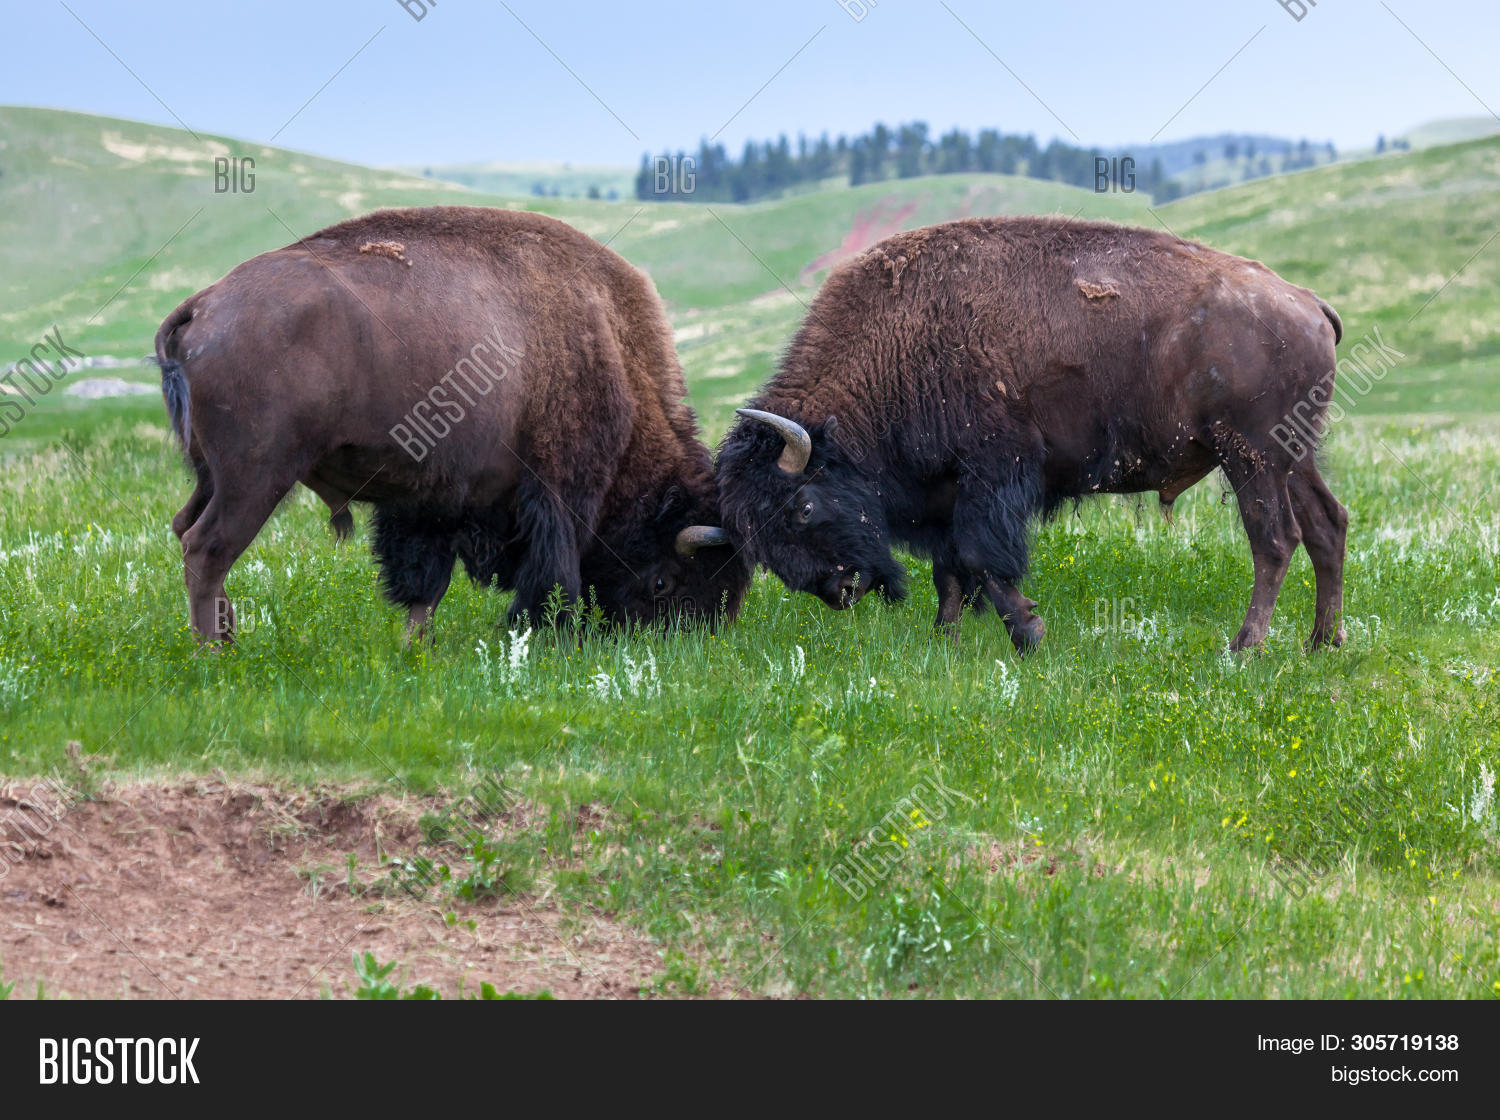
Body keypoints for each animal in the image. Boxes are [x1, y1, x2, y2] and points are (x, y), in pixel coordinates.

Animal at [155, 205, 749, 642]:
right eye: (665, 581)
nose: (685, 639)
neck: (608, 341)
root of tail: (205, 305)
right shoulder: (558, 491)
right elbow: (552, 574)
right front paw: (546, 632)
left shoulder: (433, 501)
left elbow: (426, 584)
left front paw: (416, 647)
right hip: (256, 477)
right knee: (207, 548)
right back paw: (216, 652)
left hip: (211, 476)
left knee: (185, 527)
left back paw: (228, 636)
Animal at [717, 216, 1347, 653]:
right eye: (757, 538)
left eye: (802, 506)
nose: (840, 590)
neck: (898, 346)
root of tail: (1306, 303)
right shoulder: (946, 491)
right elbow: (950, 569)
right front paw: (943, 640)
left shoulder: (992, 476)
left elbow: (982, 558)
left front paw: (1028, 634)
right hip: (1294, 457)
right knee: (1327, 525)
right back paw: (1322, 643)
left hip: (1251, 457)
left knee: (1275, 539)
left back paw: (1245, 648)